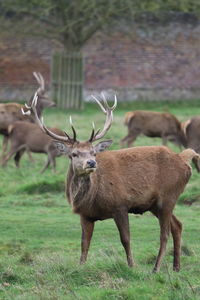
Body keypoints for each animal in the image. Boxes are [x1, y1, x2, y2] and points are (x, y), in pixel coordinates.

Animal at [27, 92, 198, 274]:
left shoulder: (120, 205)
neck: (90, 197)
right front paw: (80, 267)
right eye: (74, 154)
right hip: (155, 204)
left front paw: (131, 266)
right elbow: (84, 243)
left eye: (93, 152)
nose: (91, 163)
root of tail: (183, 159)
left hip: (168, 196)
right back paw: (176, 267)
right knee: (177, 225)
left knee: (164, 234)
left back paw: (156, 268)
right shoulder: (85, 214)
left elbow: (126, 239)